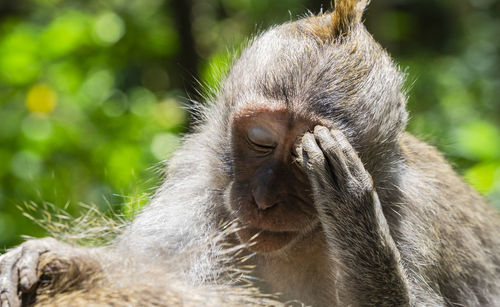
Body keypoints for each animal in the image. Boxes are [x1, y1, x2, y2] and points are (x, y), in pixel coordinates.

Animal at [0, 0, 500, 306]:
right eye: (261, 141)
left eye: (302, 159)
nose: (263, 199)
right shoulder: (197, 187)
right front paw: (53, 258)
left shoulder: (408, 217)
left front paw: (355, 216)